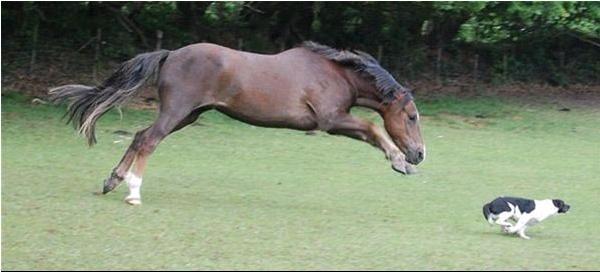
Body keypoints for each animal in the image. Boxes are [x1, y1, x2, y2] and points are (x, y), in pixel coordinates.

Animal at [51, 41, 426, 205]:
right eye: (411, 116)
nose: (420, 154)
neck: (336, 73)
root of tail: (170, 54)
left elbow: (371, 132)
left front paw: (404, 164)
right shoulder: (331, 120)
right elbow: (373, 129)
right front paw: (399, 162)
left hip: (186, 115)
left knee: (140, 136)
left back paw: (112, 180)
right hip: (176, 112)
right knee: (148, 140)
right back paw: (133, 193)